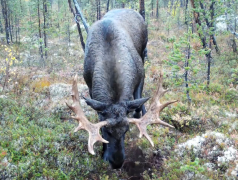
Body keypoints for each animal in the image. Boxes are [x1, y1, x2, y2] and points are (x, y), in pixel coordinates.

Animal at [65, 8, 177, 169]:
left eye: (127, 130)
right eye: (105, 130)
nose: (117, 163)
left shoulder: (141, 75)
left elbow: (139, 102)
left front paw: (139, 113)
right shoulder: (90, 87)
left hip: (143, 51)